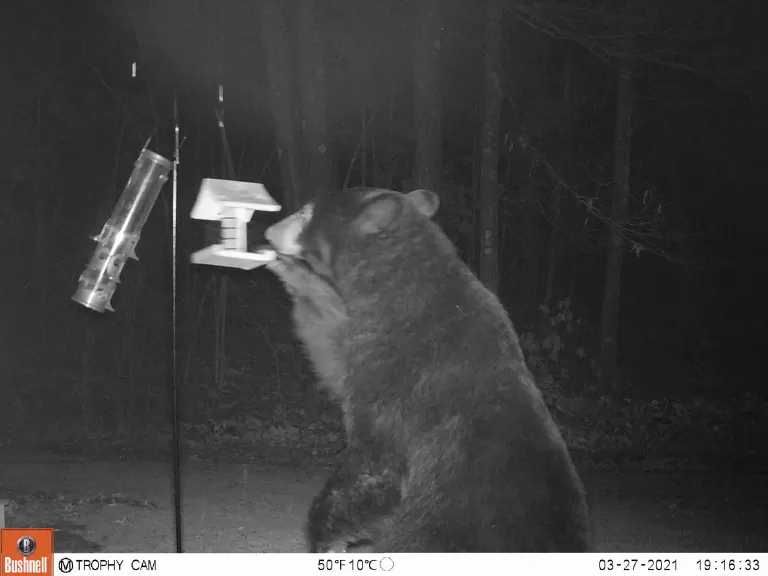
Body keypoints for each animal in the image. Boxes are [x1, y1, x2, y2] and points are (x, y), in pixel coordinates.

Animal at [265, 187, 593, 552]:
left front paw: (325, 533)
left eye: (306, 213)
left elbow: (376, 465)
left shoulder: (400, 373)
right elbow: (332, 347)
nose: (269, 230)